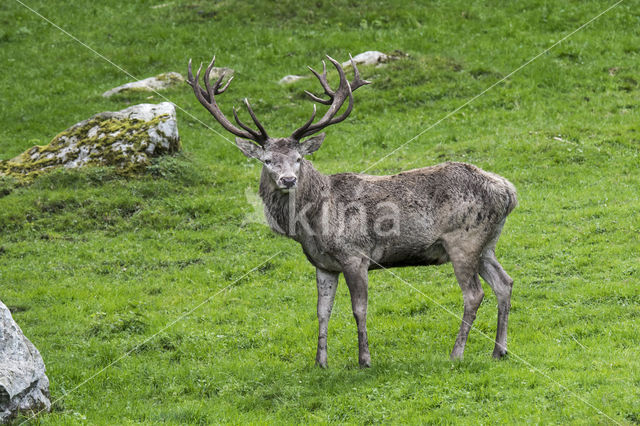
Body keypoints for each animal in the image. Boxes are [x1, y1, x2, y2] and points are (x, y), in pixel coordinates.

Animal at [188, 54, 516, 366]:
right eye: (267, 160)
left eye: (299, 159)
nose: (288, 179)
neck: (313, 225)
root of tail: (509, 192)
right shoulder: (323, 264)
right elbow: (322, 311)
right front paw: (320, 362)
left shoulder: (355, 255)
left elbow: (359, 309)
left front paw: (364, 360)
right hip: (487, 243)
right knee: (505, 283)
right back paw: (498, 351)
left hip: (463, 239)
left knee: (474, 294)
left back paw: (456, 354)